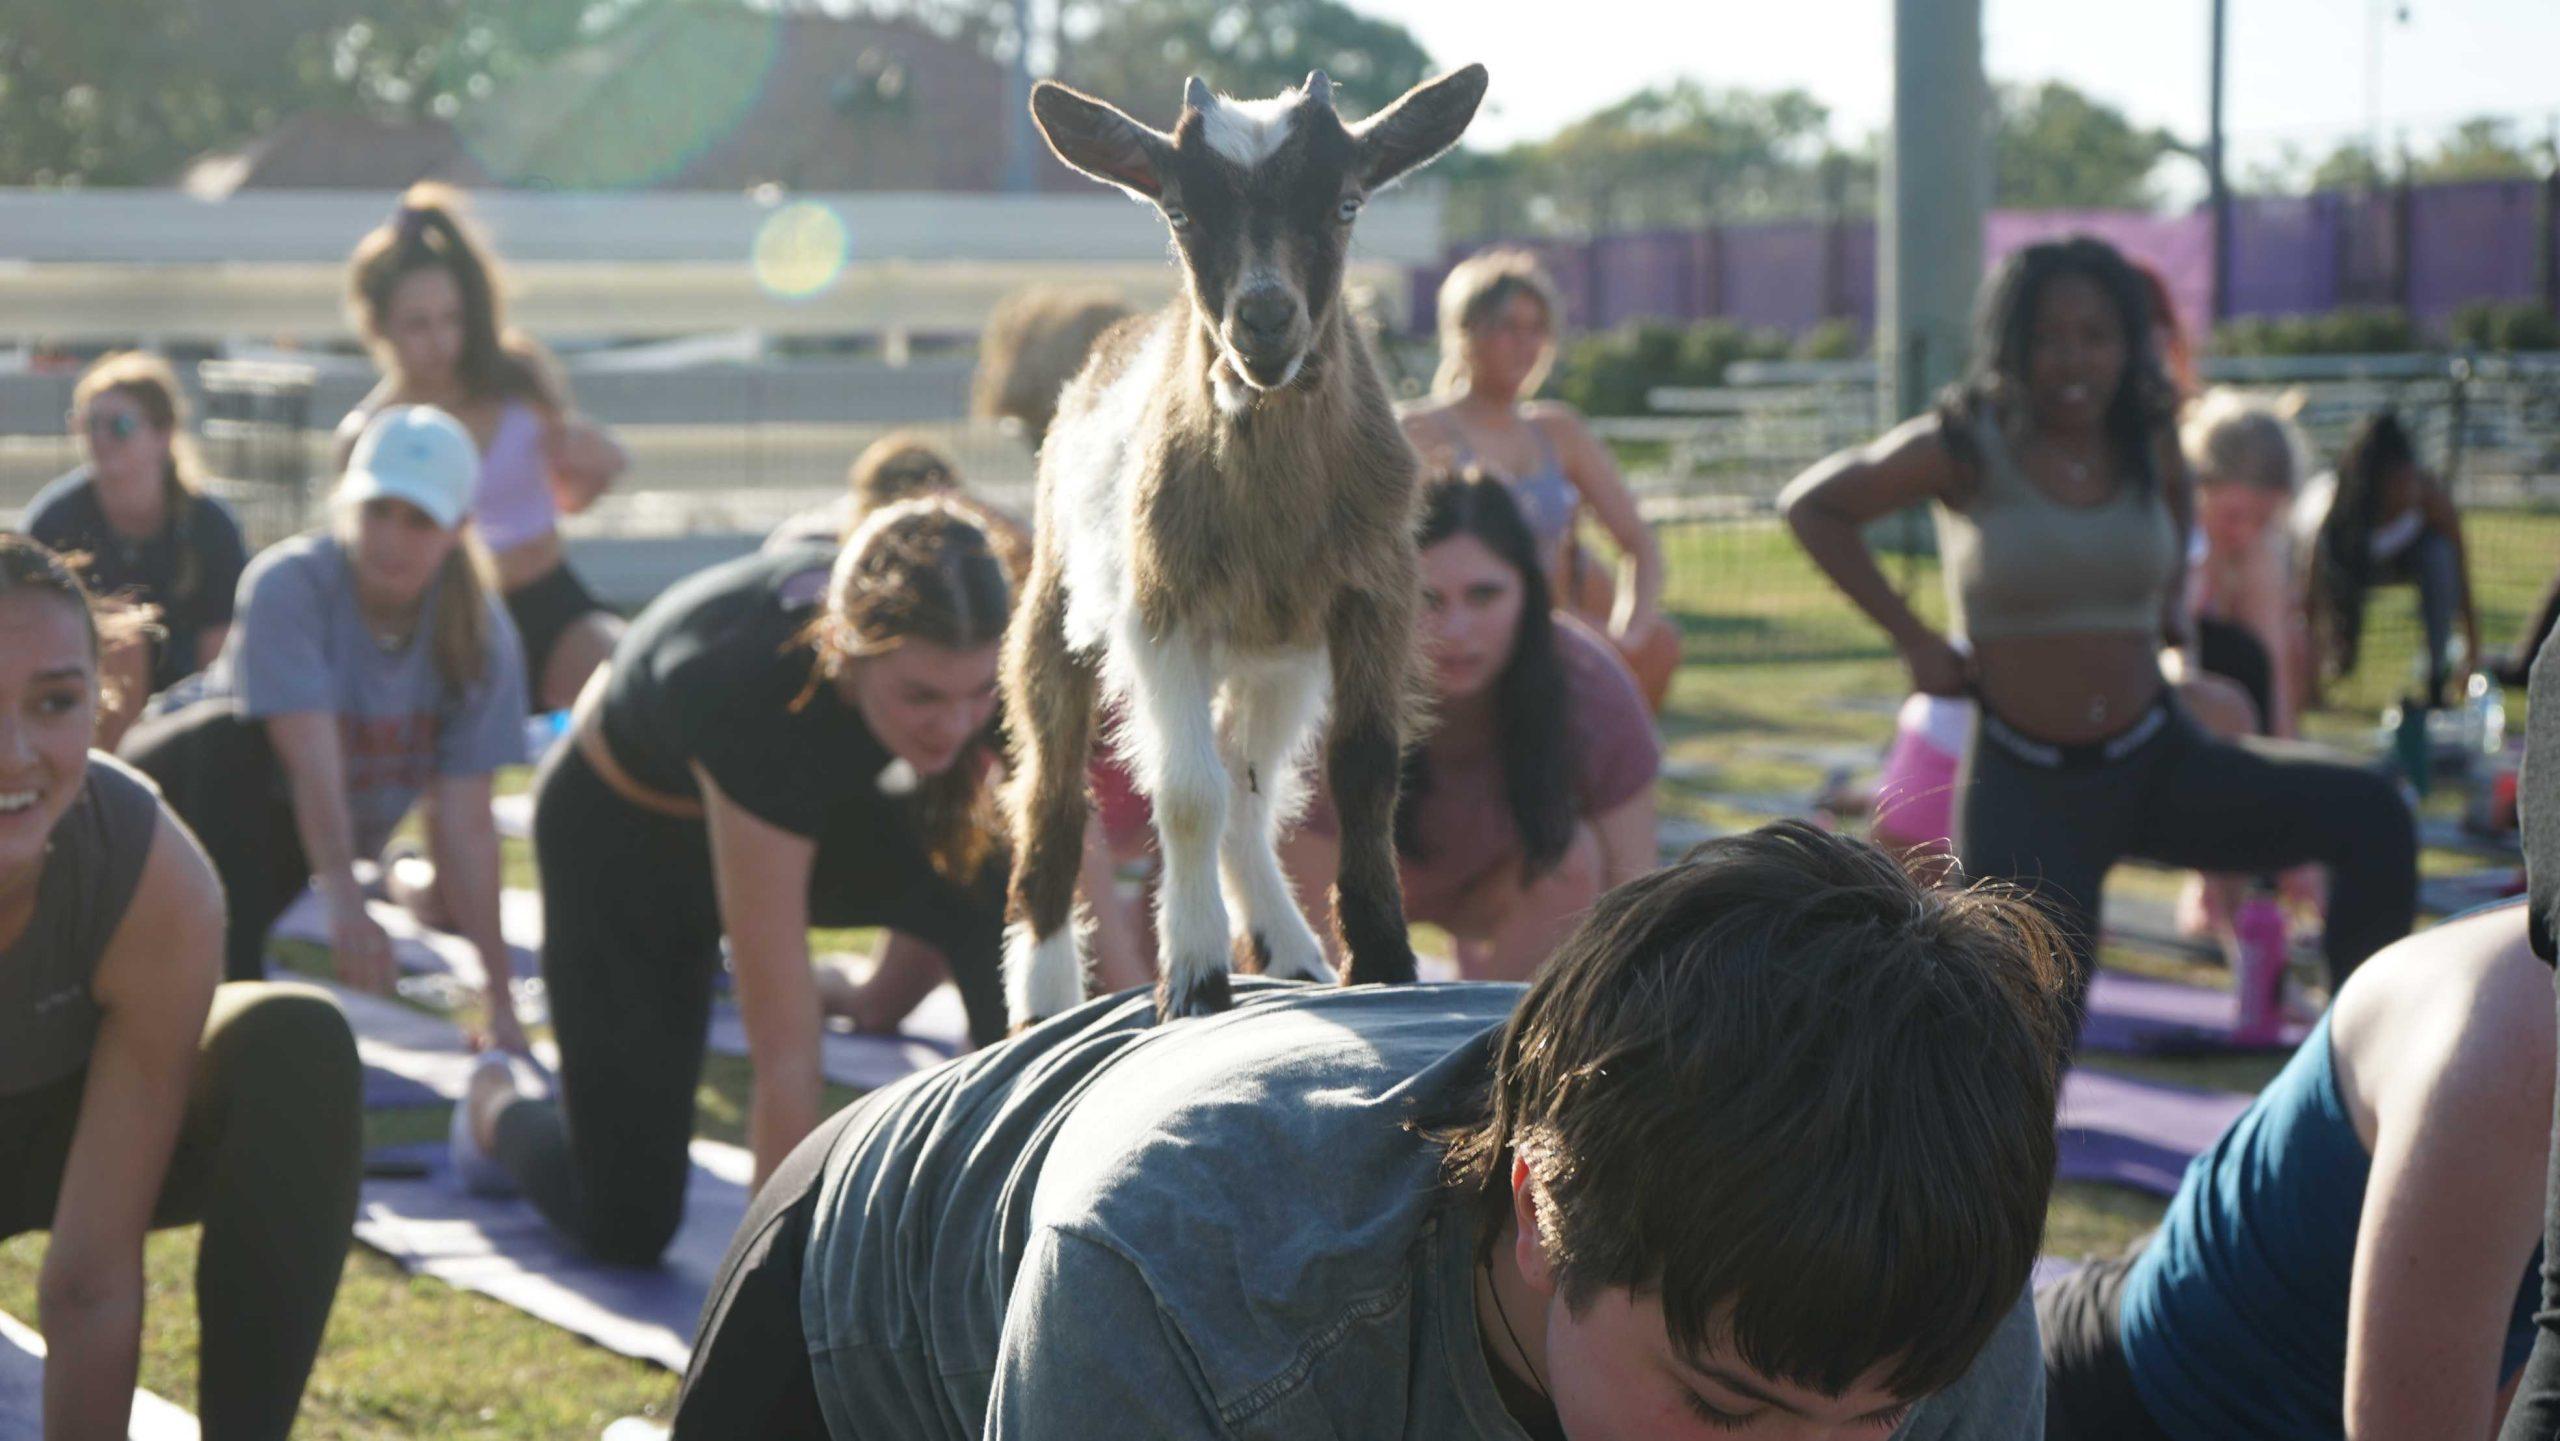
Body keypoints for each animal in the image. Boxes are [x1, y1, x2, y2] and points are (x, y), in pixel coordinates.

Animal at [993, 59, 1484, 1023]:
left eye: (1347, 202)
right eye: (1180, 211)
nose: (1263, 319)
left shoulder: (1375, 594)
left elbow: (1364, 769)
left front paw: (1382, 956)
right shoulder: (1161, 613)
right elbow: (1185, 793)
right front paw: (1192, 979)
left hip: (1277, 662)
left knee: (1249, 791)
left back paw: (1290, 949)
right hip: (1055, 612)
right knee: (1055, 799)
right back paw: (1042, 998)